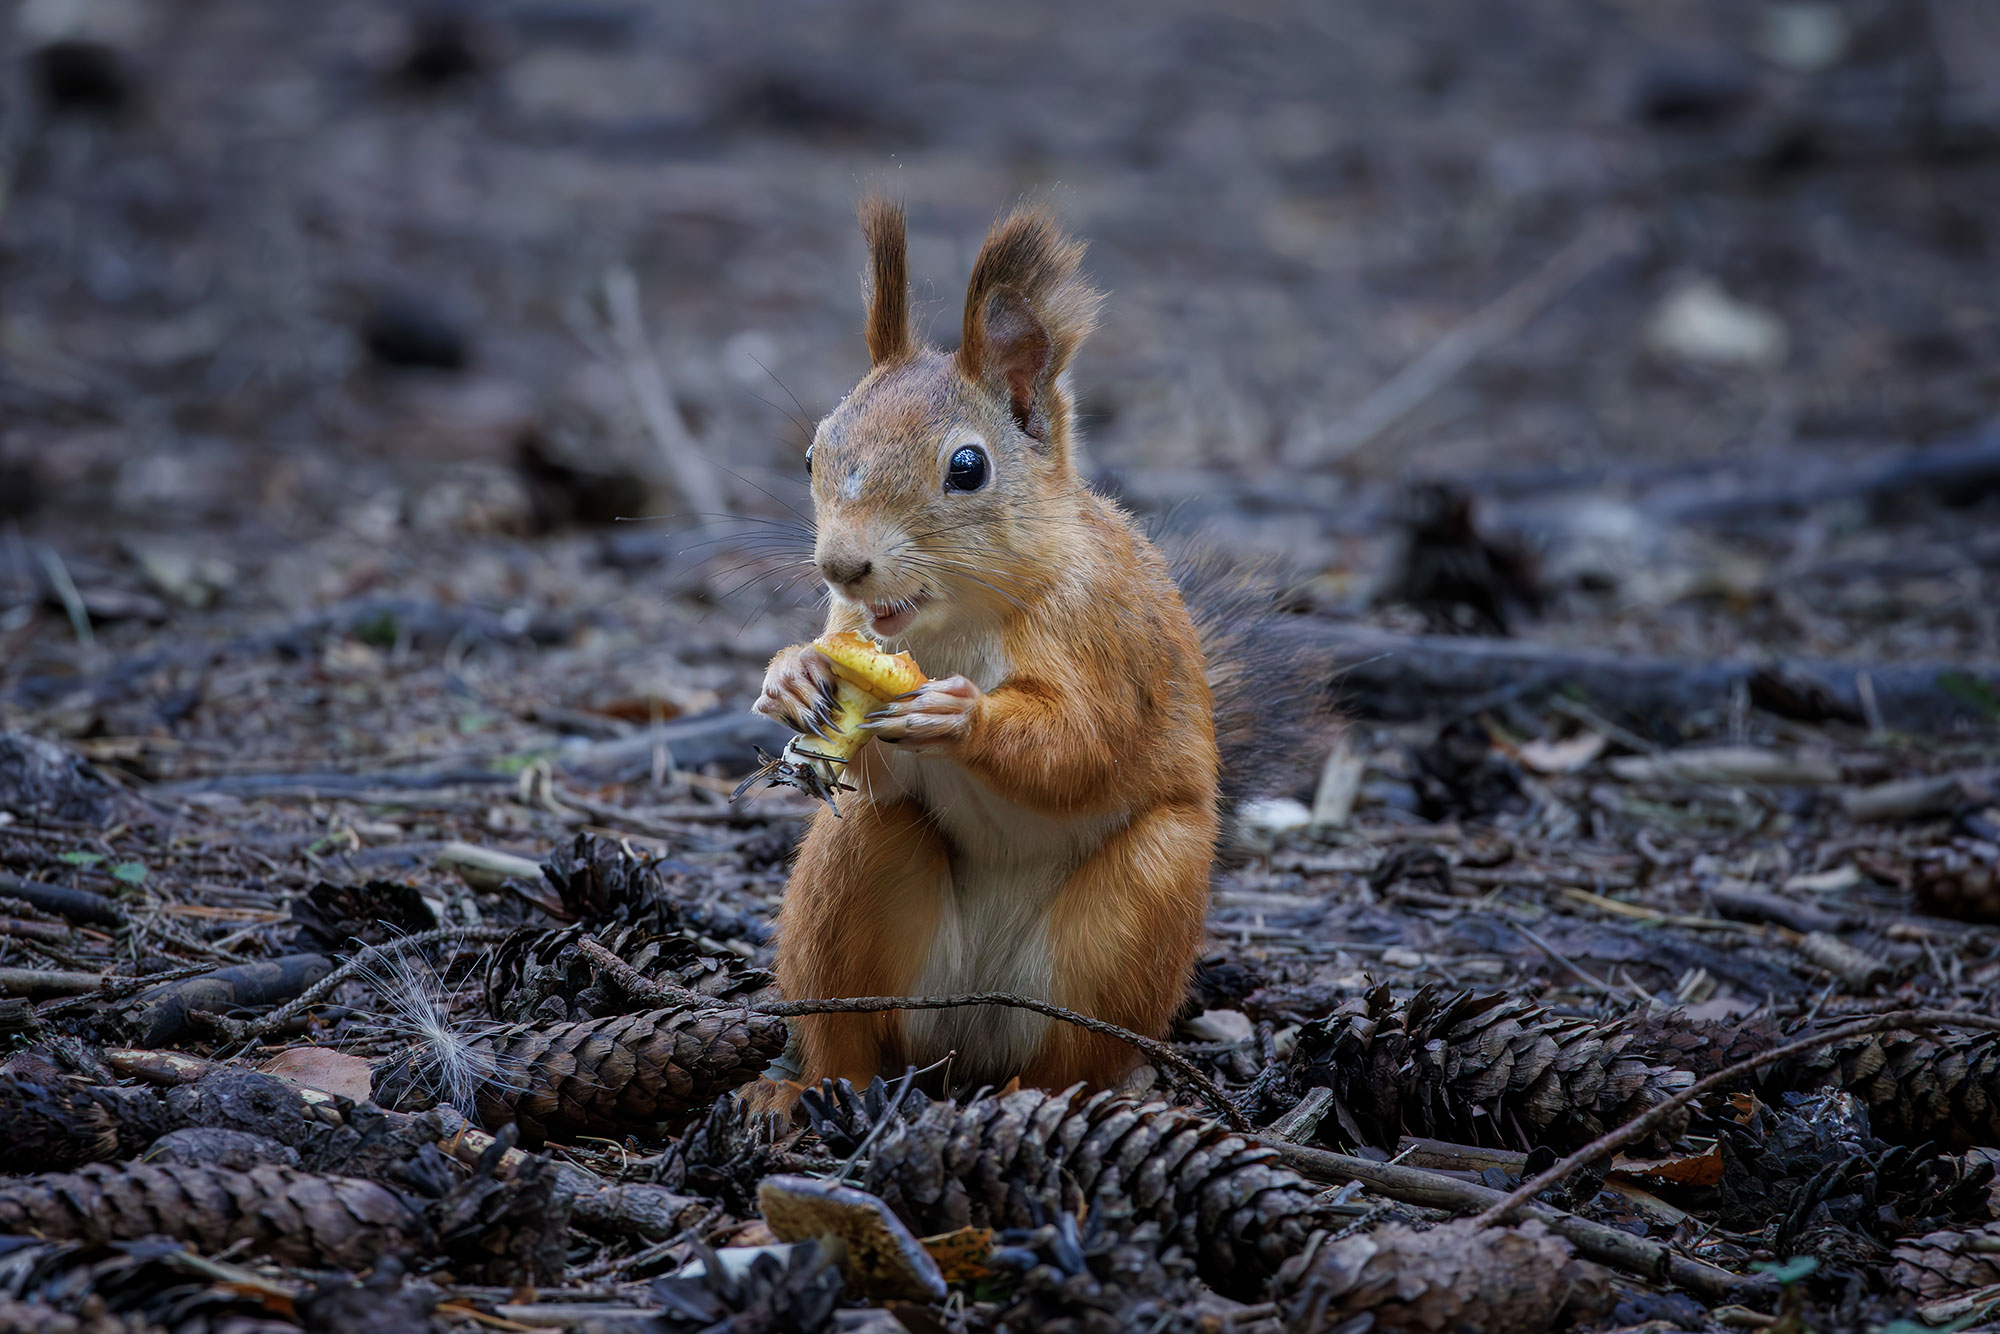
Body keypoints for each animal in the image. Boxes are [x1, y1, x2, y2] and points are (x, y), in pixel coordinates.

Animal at [752, 193, 1312, 1104]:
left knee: (1070, 1058)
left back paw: (1035, 1102)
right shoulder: (852, 628)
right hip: (856, 879)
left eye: (967, 467)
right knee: (852, 1012)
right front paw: (793, 676)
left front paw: (961, 716)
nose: (841, 564)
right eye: (813, 452)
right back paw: (807, 1090)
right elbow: (865, 743)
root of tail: (974, 1029)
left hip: (1137, 911)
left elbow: (1082, 744)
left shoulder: (1102, 640)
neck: (956, 621)